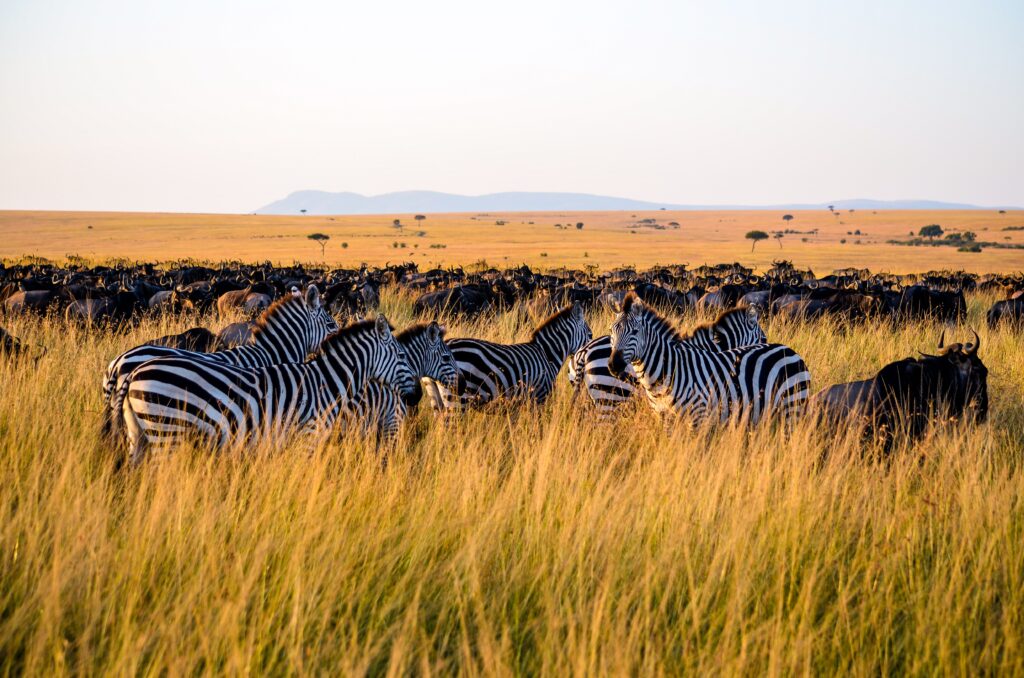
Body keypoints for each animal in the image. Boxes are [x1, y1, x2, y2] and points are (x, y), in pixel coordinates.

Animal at [119, 316, 415, 464]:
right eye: (401, 355)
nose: (417, 397)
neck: (327, 383)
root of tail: (133, 373)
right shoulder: (307, 437)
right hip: (167, 431)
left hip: (139, 434)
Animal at [608, 294, 810, 424]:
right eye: (611, 331)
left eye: (635, 332)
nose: (614, 365)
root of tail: (791, 350)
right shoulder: (665, 418)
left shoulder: (700, 416)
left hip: (792, 407)